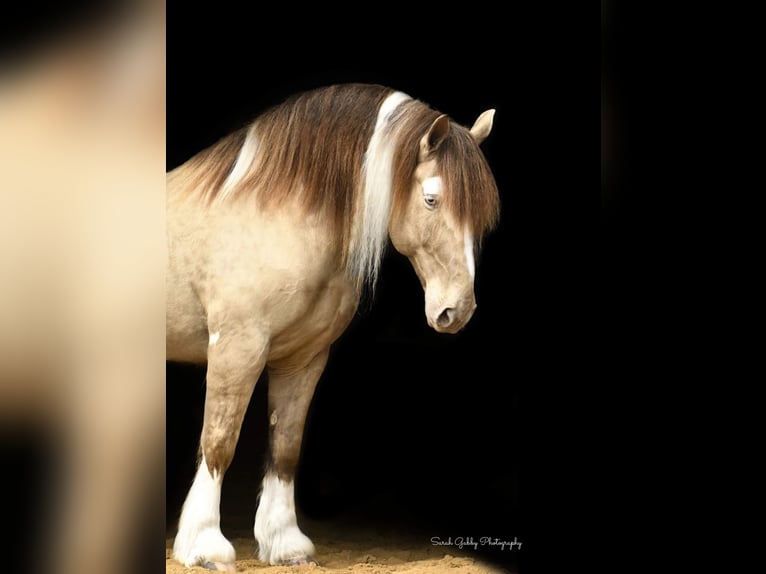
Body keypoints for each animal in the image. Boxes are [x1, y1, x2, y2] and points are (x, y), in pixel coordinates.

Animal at [167, 82, 500, 572]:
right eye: (431, 199)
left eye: (481, 214)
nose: (456, 311)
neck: (276, 218)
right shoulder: (237, 348)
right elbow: (219, 441)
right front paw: (205, 546)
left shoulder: (302, 359)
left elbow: (286, 446)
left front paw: (285, 544)